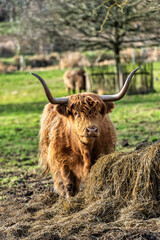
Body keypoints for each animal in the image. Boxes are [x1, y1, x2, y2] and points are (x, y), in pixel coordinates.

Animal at [31, 67, 139, 197]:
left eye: (98, 111)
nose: (92, 129)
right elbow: (69, 185)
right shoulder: (62, 163)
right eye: (76, 113)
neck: (84, 149)